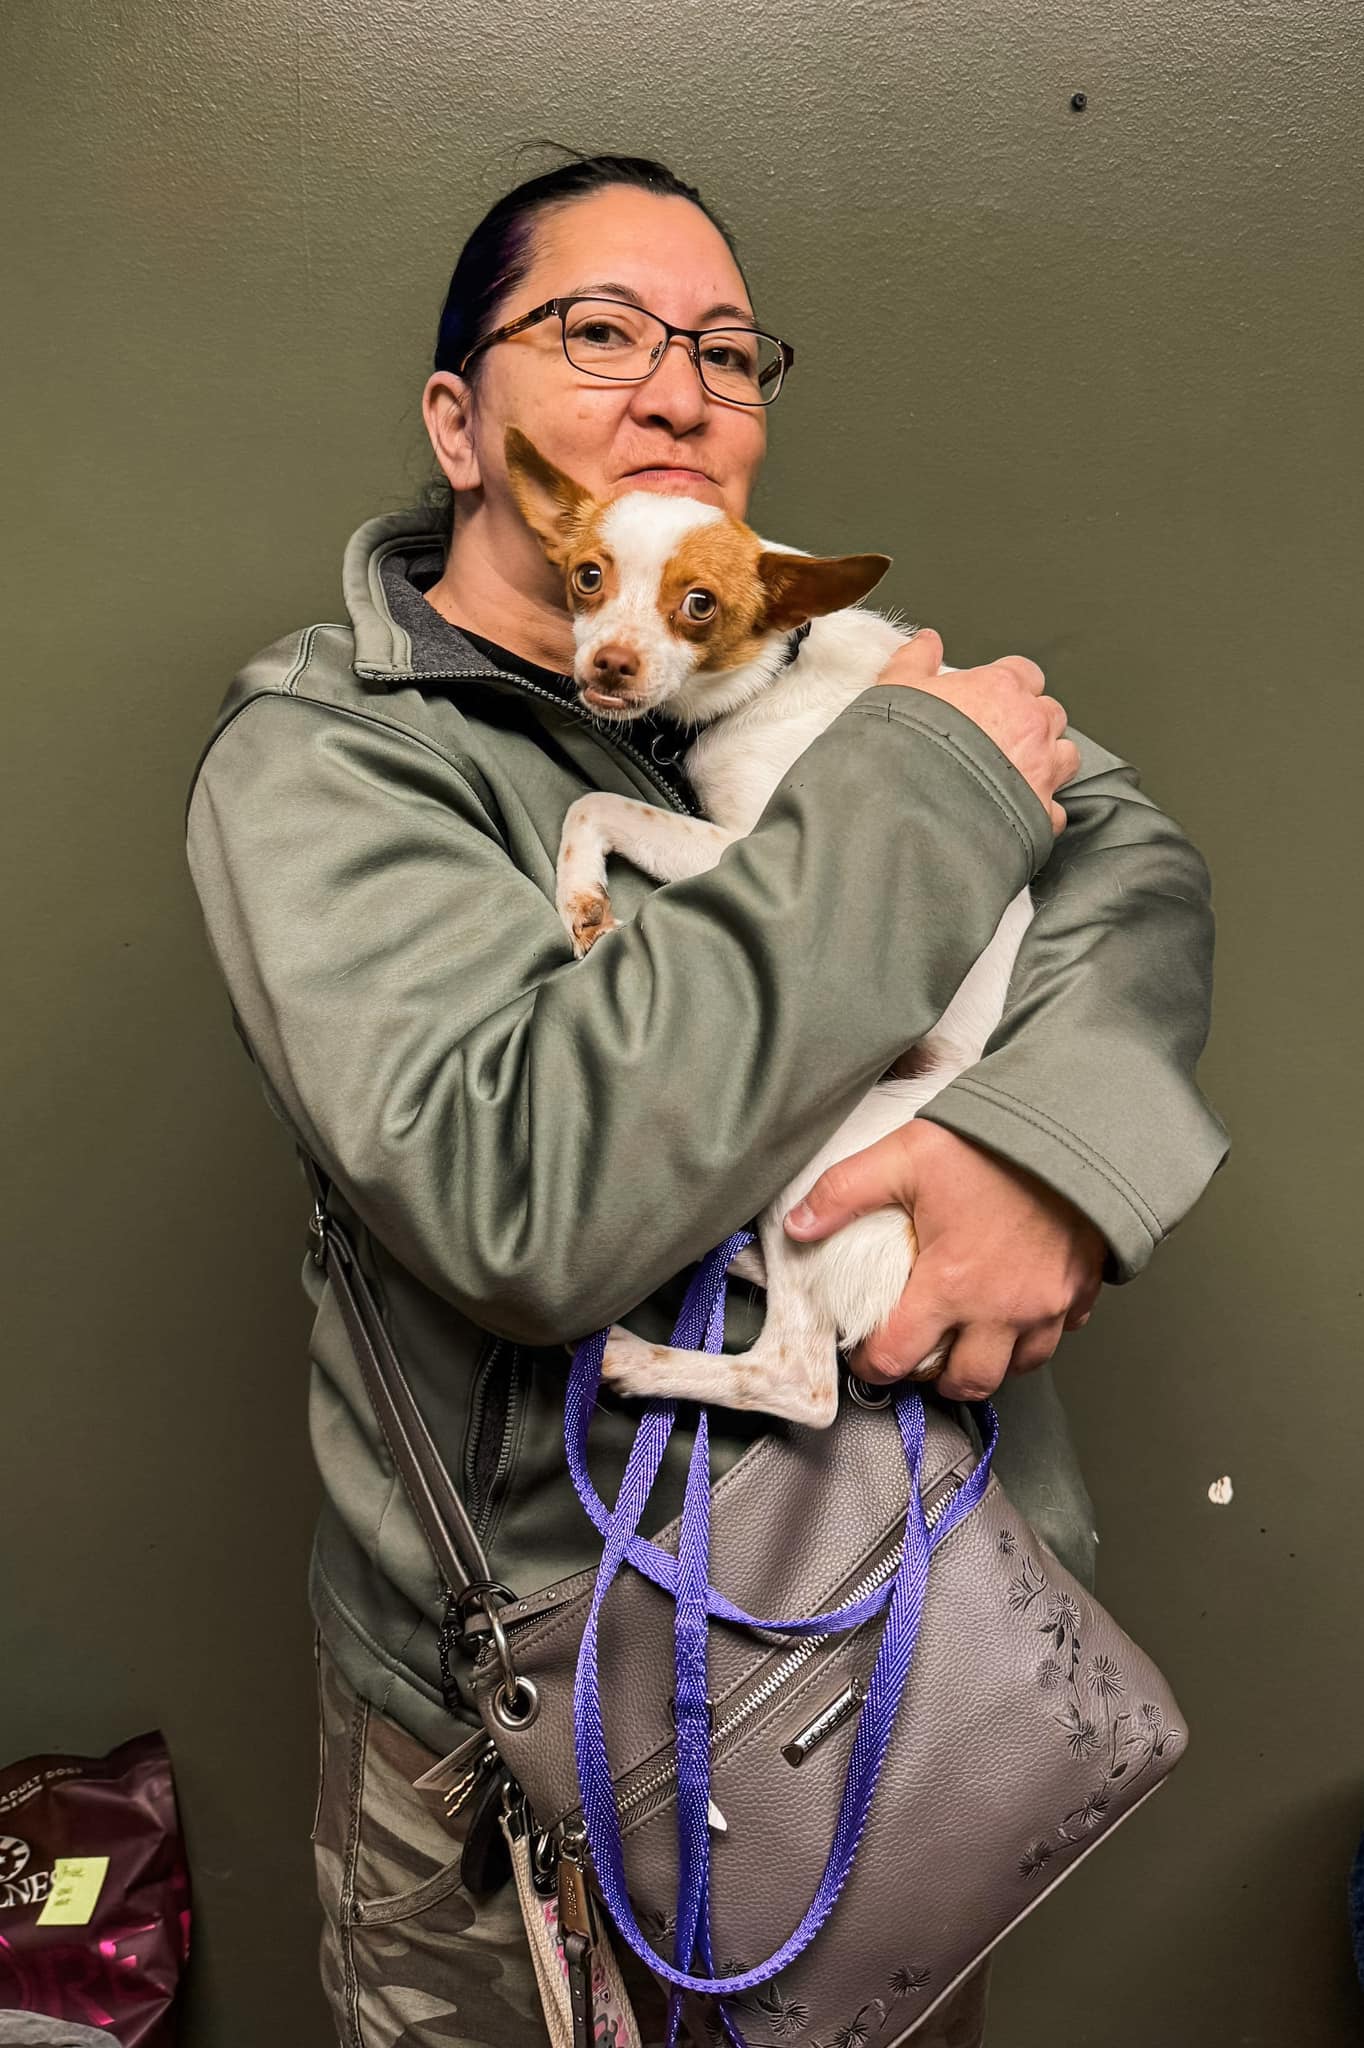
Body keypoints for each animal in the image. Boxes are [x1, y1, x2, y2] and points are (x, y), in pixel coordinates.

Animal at [501, 425, 1032, 1433]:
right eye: (588, 577)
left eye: (698, 606)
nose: (608, 667)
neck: (769, 676)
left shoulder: (749, 848)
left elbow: (596, 803)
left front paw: (583, 902)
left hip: (822, 1156)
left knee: (802, 1379)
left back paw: (634, 1360)